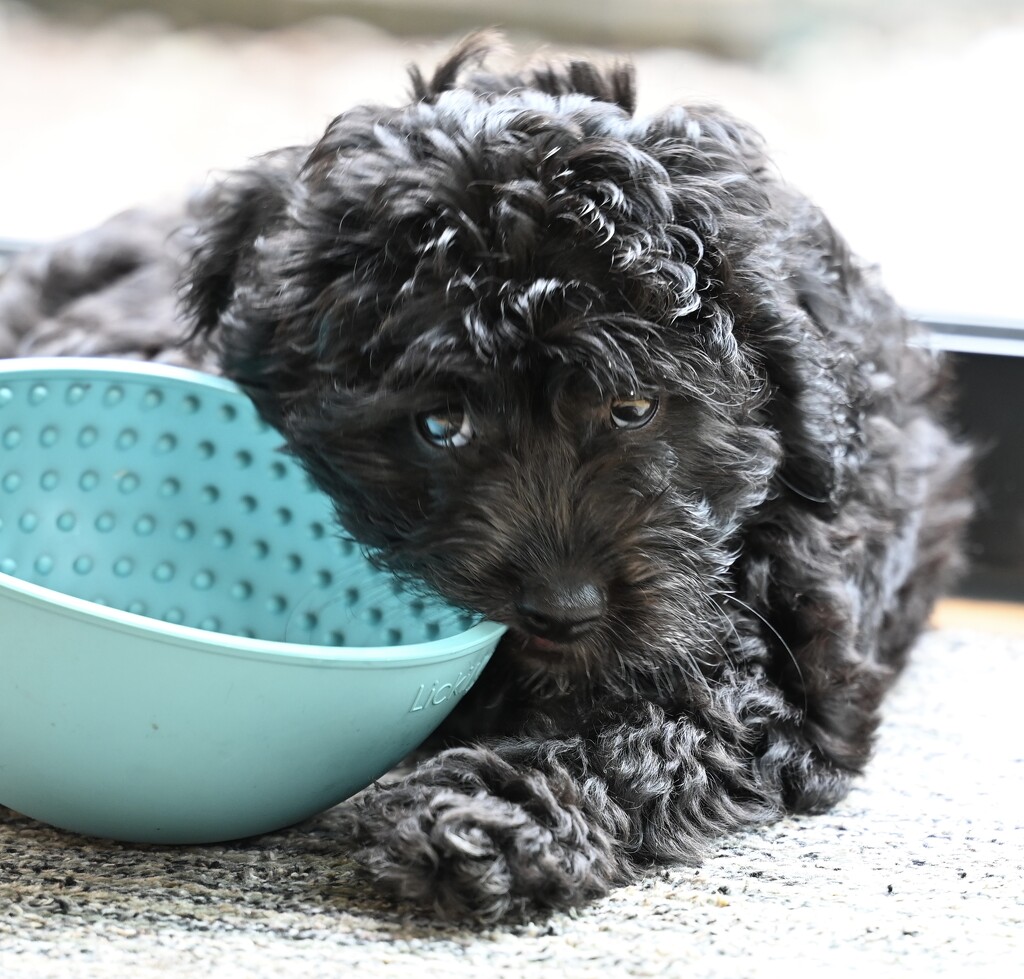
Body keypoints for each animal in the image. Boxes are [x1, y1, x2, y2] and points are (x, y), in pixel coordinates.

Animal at [0, 38, 970, 921]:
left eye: (633, 406)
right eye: (439, 425)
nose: (562, 610)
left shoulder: (795, 668)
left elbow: (677, 722)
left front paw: (483, 818)